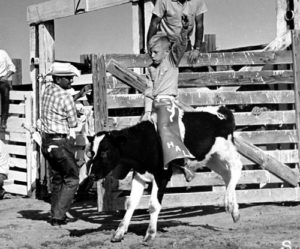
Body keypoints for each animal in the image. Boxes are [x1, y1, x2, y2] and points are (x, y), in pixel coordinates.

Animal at [88, 105, 243, 243]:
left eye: (105, 150)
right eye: (92, 152)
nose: (92, 175)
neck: (146, 141)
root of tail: (222, 112)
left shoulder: (162, 175)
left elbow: (153, 205)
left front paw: (150, 235)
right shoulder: (139, 174)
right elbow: (131, 202)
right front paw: (119, 232)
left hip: (225, 150)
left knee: (236, 167)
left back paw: (229, 203)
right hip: (212, 158)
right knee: (226, 175)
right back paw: (234, 211)